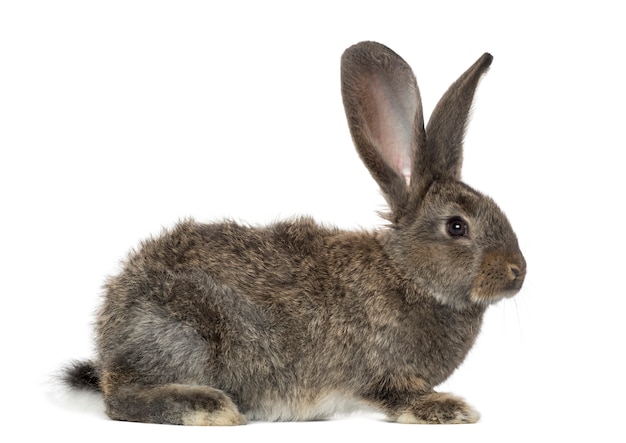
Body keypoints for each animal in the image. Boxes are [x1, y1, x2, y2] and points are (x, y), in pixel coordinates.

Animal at [63, 41, 524, 426]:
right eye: (457, 226)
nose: (518, 271)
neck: (408, 273)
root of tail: (109, 333)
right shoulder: (382, 372)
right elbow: (398, 397)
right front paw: (449, 408)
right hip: (183, 335)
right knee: (122, 399)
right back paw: (208, 407)